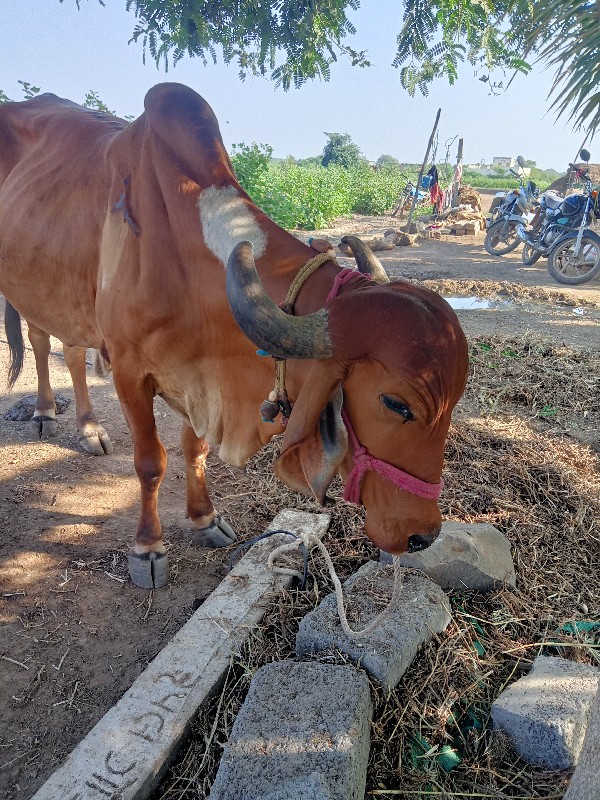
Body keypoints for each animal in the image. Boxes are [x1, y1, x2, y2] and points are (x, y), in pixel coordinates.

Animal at [0, 84, 468, 588]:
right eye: (396, 404)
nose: (423, 535)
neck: (183, 254)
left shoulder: (201, 381)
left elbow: (196, 448)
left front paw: (205, 518)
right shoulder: (129, 372)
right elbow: (150, 462)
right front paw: (147, 548)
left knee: (69, 348)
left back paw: (89, 428)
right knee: (42, 342)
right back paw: (46, 412)